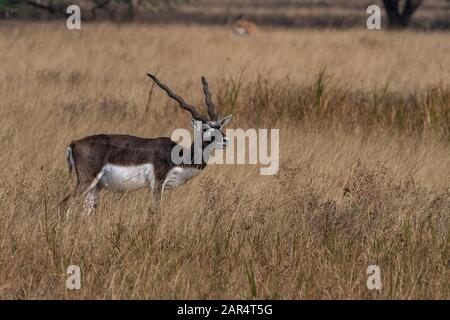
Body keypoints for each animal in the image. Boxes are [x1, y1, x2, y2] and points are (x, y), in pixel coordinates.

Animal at [60, 74, 232, 215]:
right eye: (205, 128)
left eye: (219, 127)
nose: (225, 140)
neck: (180, 156)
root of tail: (74, 143)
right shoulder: (157, 184)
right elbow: (155, 211)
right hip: (86, 180)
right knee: (66, 203)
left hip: (95, 187)